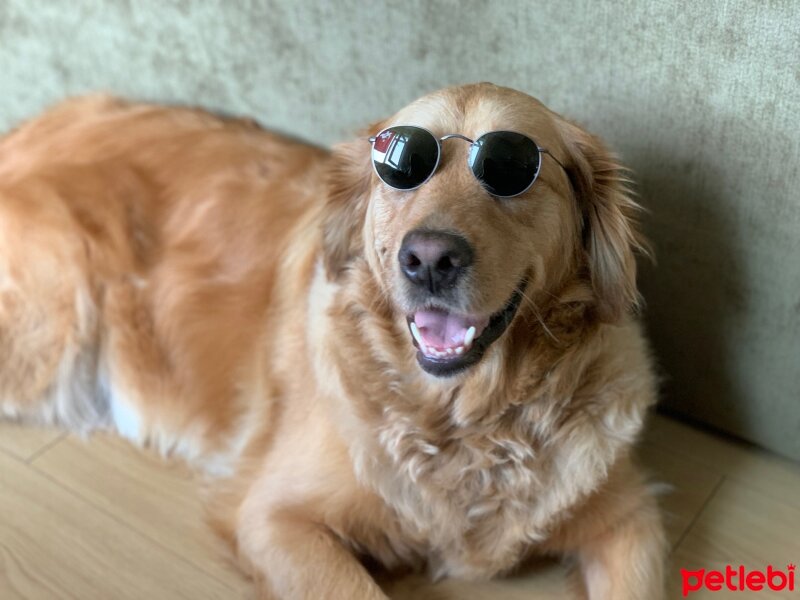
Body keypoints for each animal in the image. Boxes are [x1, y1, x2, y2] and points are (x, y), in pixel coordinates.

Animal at [0, 82, 664, 596]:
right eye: (399, 166)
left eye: (511, 170)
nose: (429, 260)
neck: (465, 422)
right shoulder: (274, 518)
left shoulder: (630, 520)